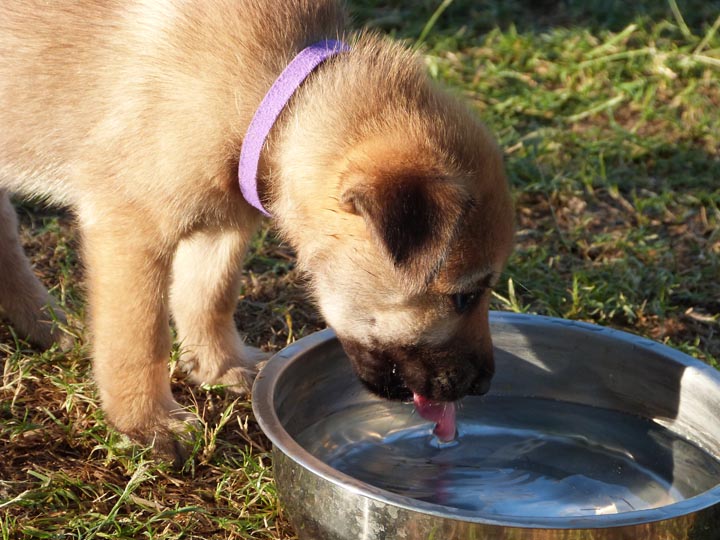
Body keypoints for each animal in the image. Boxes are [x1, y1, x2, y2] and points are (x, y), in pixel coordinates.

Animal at [1, 1, 516, 460]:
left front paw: (219, 366)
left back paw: (46, 324)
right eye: (464, 296)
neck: (275, 93)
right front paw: (148, 422)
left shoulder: (222, 223)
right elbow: (140, 338)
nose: (486, 384)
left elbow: (209, 296)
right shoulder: (131, 228)